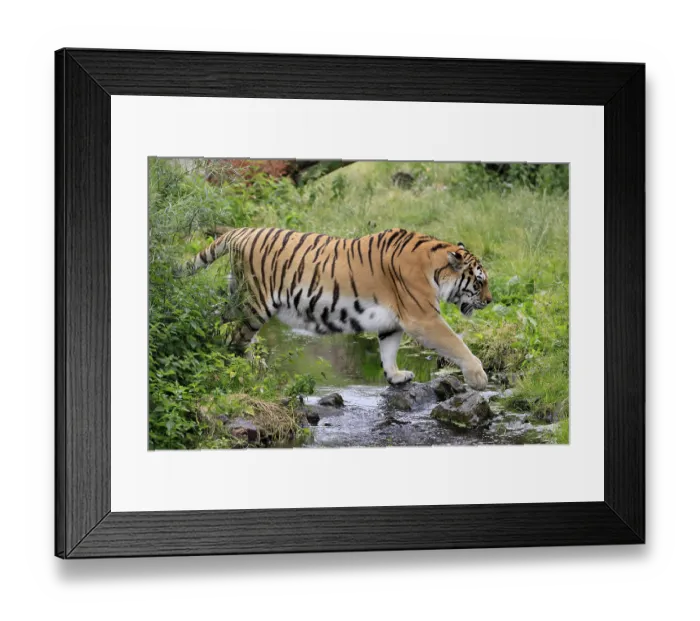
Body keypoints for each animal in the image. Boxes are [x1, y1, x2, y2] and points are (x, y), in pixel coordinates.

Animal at [186, 227, 493, 389]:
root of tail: (240, 231)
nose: (490, 301)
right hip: (254, 305)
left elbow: (388, 350)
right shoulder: (424, 318)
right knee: (234, 339)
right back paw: (247, 372)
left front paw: (395, 376)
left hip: (238, 299)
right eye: (480, 281)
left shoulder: (392, 322)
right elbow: (455, 343)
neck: (435, 268)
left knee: (220, 323)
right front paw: (478, 376)